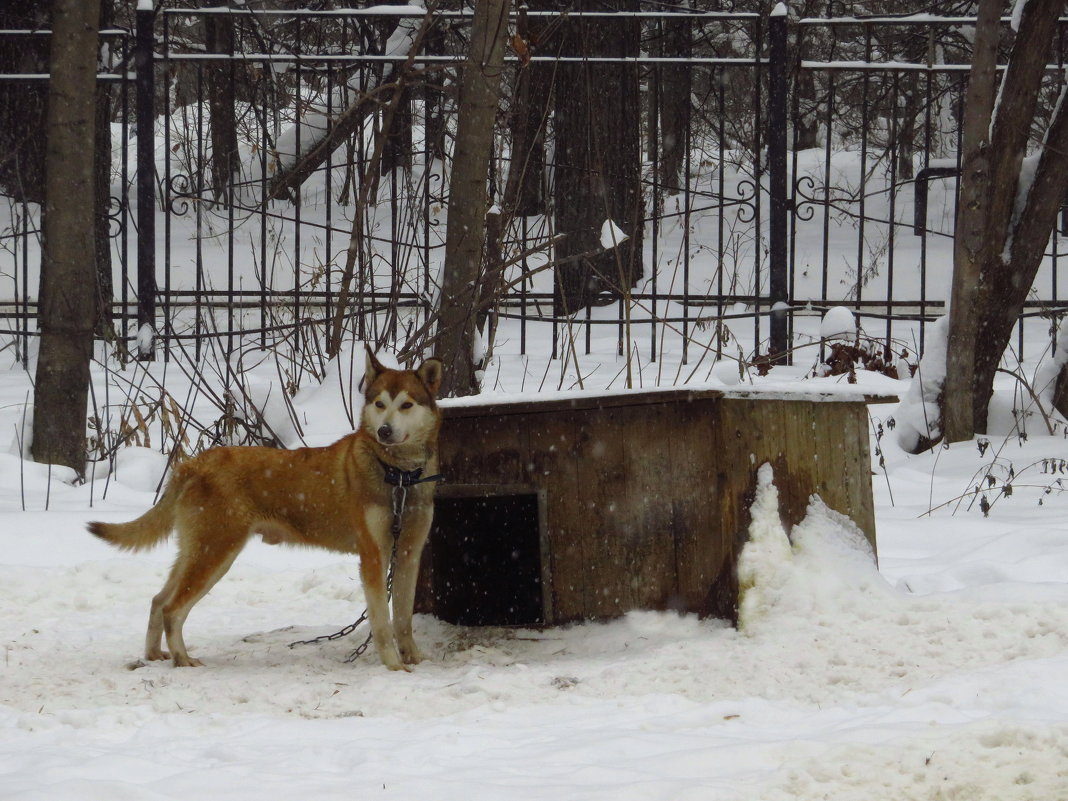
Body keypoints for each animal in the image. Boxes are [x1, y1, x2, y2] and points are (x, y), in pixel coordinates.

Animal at [86, 350, 446, 670]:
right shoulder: (373, 557)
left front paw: (414, 659)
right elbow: (382, 622)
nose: (384, 431)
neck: (399, 477)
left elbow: (402, 618)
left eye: (407, 404)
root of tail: (195, 462)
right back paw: (183, 659)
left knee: (157, 600)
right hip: (215, 553)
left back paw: (153, 655)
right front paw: (393, 666)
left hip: (197, 553)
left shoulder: (409, 553)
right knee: (172, 609)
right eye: (379, 404)